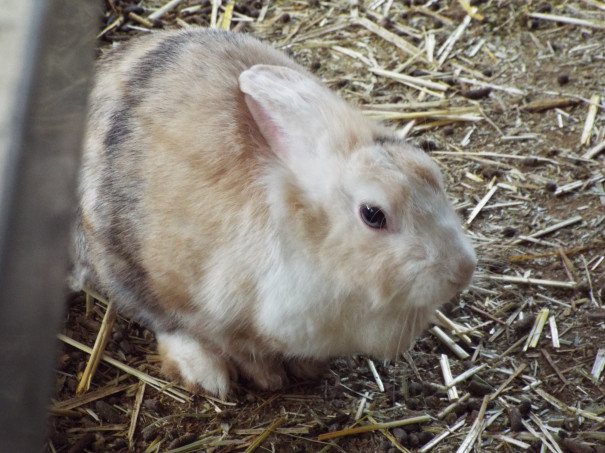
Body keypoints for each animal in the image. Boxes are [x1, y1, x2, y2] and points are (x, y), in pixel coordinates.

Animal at [72, 27, 476, 396]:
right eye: (373, 214)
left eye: (433, 172)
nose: (463, 271)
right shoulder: (208, 309)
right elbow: (230, 345)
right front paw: (267, 378)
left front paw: (307, 369)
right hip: (120, 261)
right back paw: (206, 374)